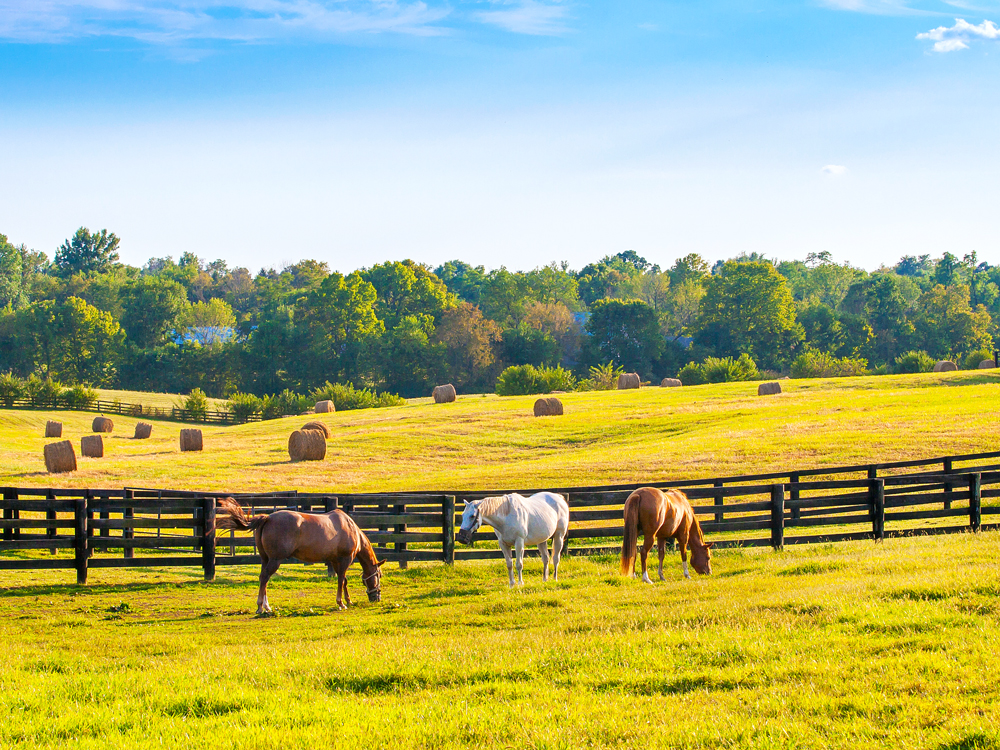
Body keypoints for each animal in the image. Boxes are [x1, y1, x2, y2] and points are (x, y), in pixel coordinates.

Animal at [217, 500, 384, 616]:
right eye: (379, 575)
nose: (376, 597)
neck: (350, 528)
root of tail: (267, 518)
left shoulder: (335, 561)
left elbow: (344, 581)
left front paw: (348, 600)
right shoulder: (344, 560)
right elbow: (341, 580)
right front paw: (341, 603)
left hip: (265, 559)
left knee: (263, 578)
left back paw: (267, 606)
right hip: (275, 560)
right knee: (264, 578)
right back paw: (260, 607)